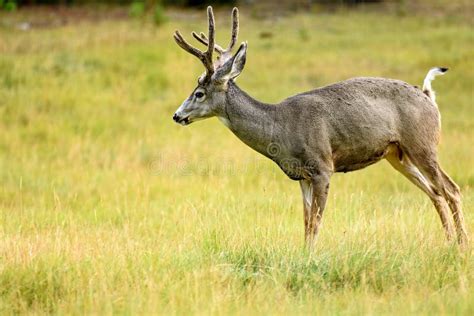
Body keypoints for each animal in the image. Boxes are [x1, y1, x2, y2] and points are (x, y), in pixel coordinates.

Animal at [172, 5, 468, 247]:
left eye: (199, 93)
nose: (177, 115)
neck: (280, 127)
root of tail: (428, 96)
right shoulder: (302, 176)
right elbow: (305, 222)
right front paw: (304, 255)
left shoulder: (324, 166)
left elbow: (315, 222)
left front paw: (311, 257)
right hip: (397, 155)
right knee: (436, 193)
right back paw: (449, 241)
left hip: (423, 143)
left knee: (451, 189)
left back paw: (462, 246)